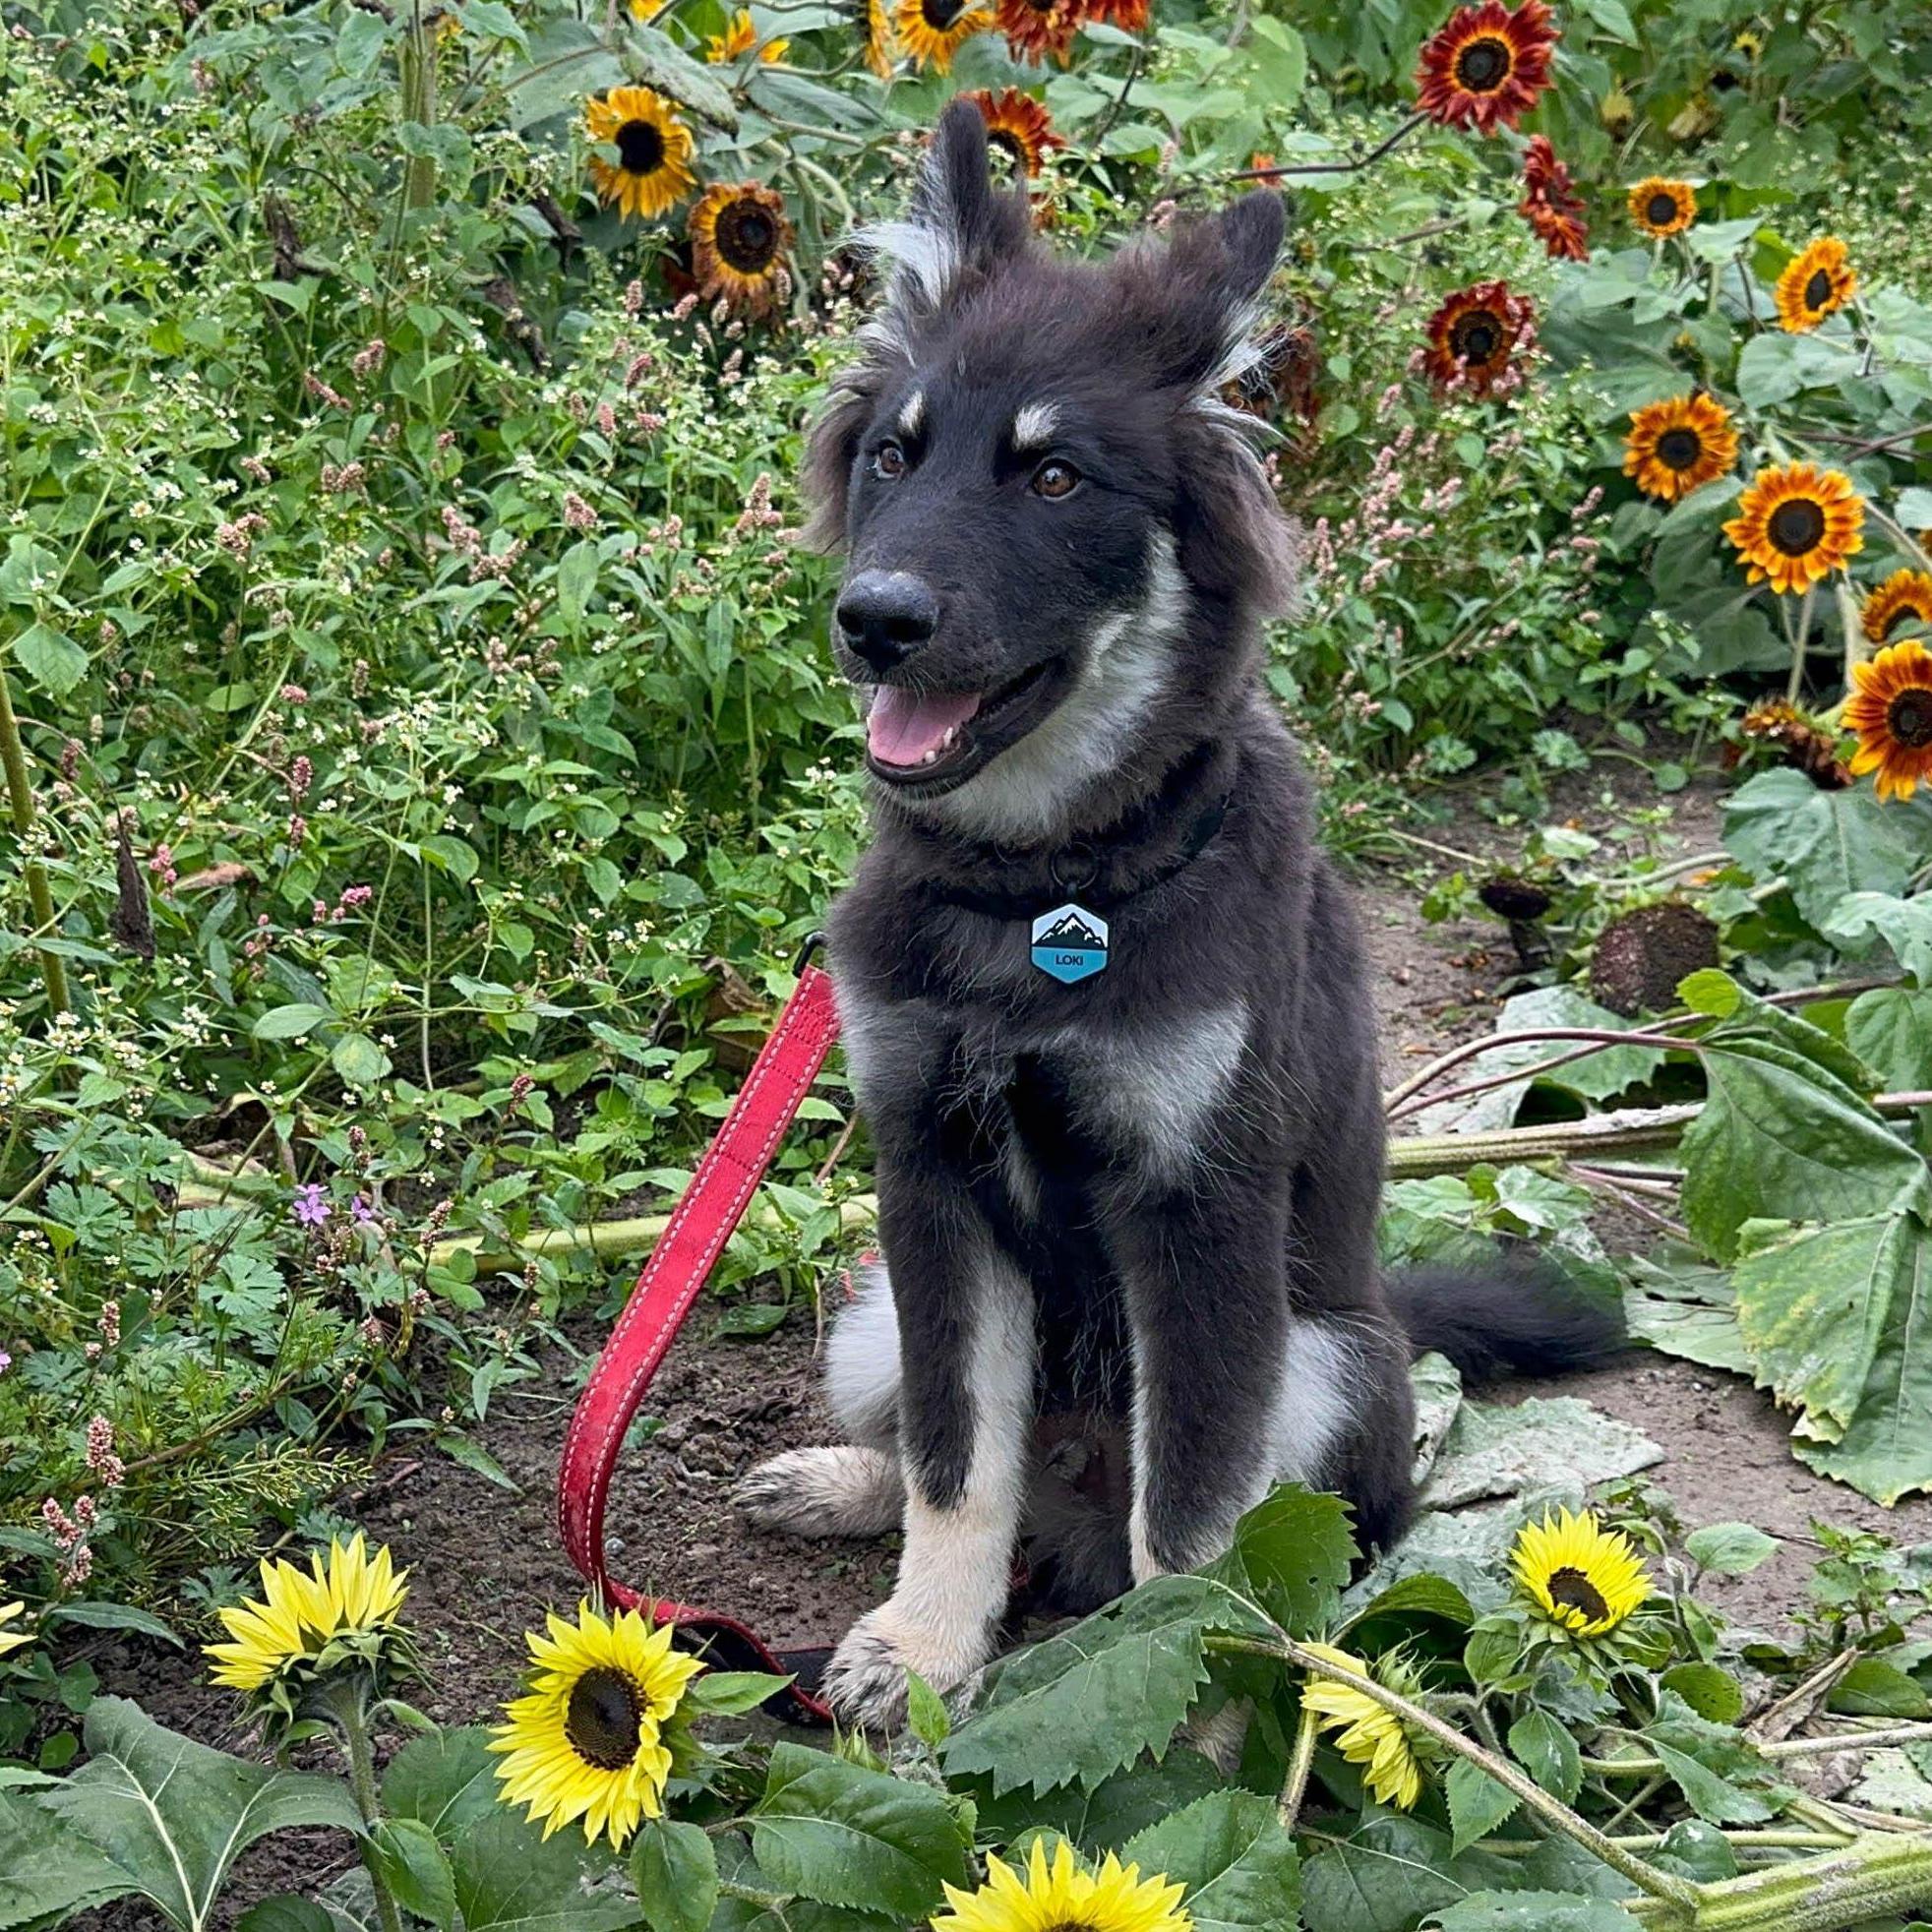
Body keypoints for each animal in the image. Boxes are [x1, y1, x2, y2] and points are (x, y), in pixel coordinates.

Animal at [730, 101, 1607, 1738]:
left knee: (1290, 1523)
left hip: (1319, 1360)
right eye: (893, 454)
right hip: (871, 1315)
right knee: (967, 1464)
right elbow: (958, 1459)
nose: (873, 619)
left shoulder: (1197, 1219)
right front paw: (923, 1649)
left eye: (1055, 478)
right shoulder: (931, 1185)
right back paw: (841, 1489)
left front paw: (1187, 1697)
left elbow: (1192, 1526)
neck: (1045, 899)